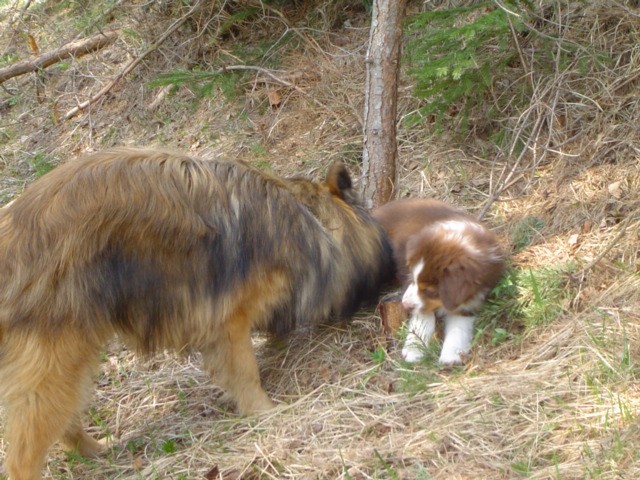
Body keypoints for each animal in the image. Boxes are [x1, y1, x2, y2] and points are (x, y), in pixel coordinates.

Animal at [0, 147, 392, 480]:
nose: (388, 282)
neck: (309, 220)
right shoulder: (229, 322)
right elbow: (245, 372)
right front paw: (265, 412)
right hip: (53, 355)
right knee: (23, 453)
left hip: (72, 356)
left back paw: (97, 449)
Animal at [376, 198, 504, 364]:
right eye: (413, 279)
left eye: (430, 291)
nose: (405, 305)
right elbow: (423, 316)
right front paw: (414, 349)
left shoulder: (471, 299)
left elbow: (459, 327)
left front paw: (451, 355)